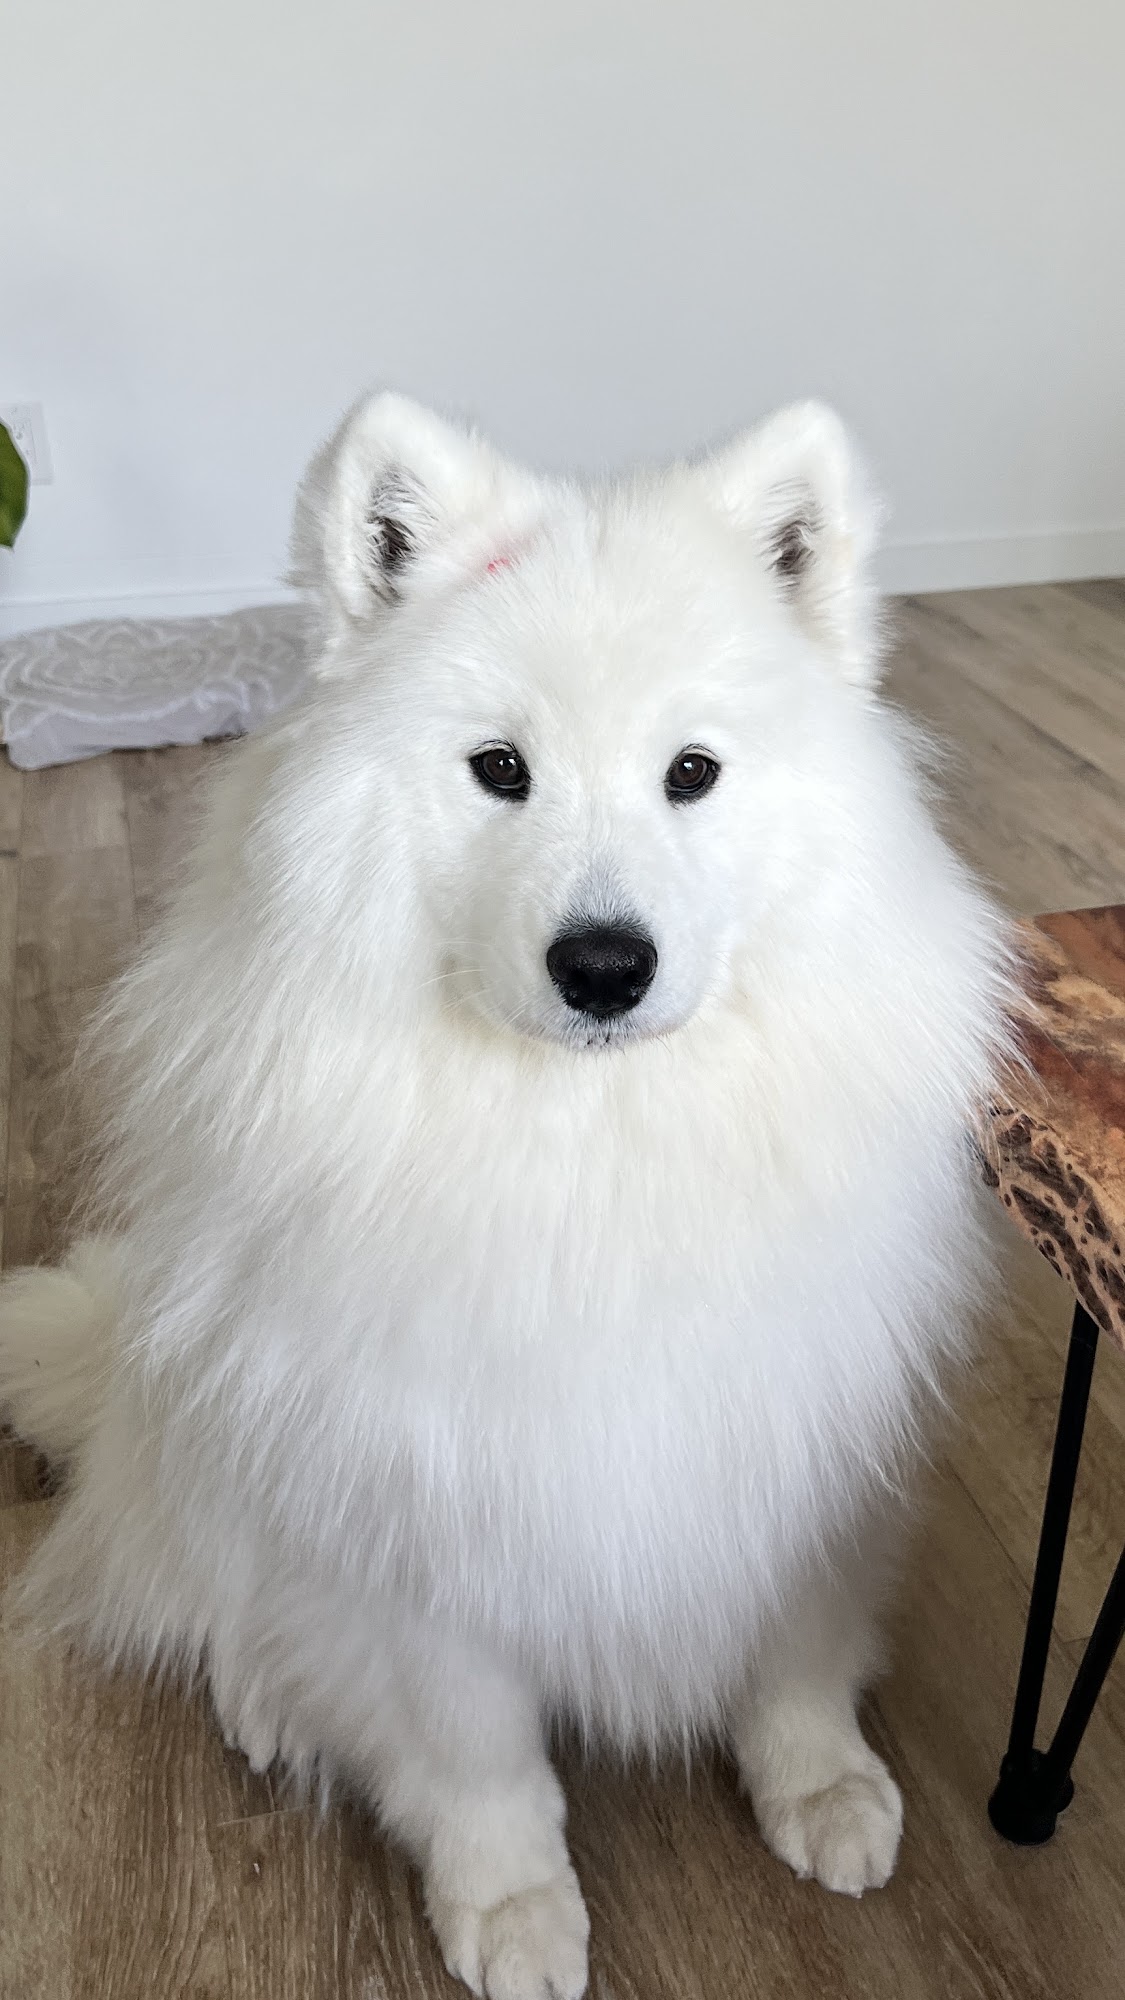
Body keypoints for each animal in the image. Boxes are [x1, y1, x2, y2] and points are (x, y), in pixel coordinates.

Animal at [0, 393, 1014, 1998]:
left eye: (690, 772)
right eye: (499, 769)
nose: (603, 965)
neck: (595, 1150)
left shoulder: (800, 1439)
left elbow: (796, 1655)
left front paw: (824, 1787)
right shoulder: (420, 1510)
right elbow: (475, 1757)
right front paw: (512, 1908)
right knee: (212, 1593)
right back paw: (268, 1700)